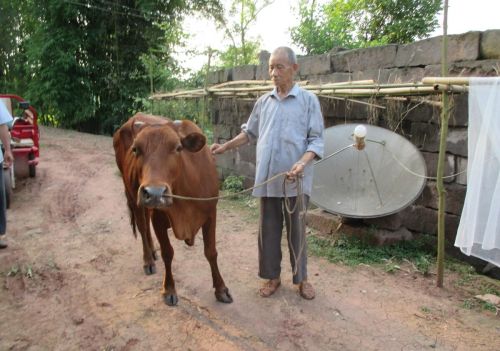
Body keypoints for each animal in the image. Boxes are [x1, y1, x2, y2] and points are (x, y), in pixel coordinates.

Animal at [113, 113, 232, 306]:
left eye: (178, 148)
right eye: (135, 149)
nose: (154, 193)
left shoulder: (210, 213)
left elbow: (211, 252)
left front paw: (221, 289)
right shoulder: (159, 219)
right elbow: (168, 253)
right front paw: (169, 289)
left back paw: (152, 251)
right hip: (133, 195)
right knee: (142, 226)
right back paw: (148, 260)